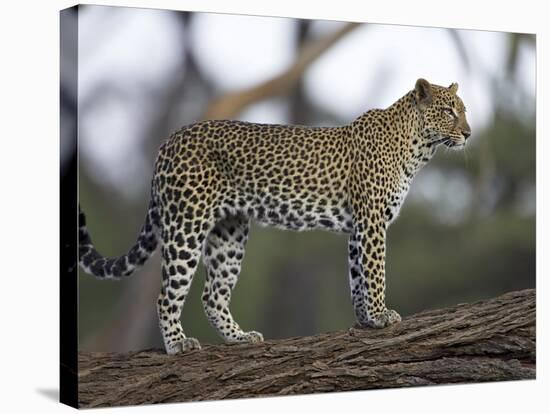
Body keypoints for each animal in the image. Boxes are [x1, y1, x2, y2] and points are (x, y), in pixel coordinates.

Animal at [80, 79, 472, 354]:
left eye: (464, 110)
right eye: (449, 111)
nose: (469, 133)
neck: (419, 147)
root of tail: (168, 142)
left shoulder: (358, 227)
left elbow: (357, 275)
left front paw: (365, 320)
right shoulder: (372, 220)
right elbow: (375, 272)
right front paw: (380, 316)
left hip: (229, 233)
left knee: (212, 295)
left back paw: (239, 338)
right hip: (186, 223)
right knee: (167, 294)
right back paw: (178, 344)